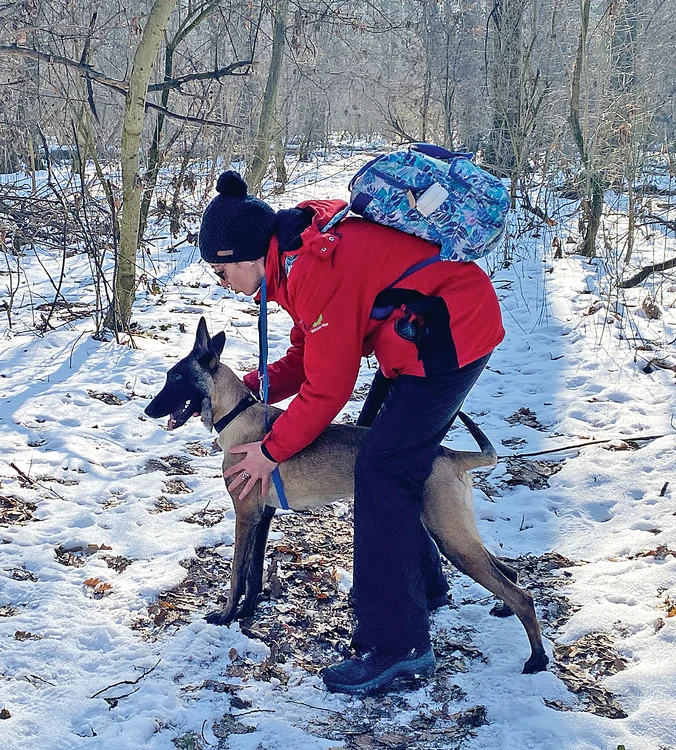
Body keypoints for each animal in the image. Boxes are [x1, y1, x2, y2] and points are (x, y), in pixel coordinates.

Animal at [144, 318, 548, 676]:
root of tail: (449, 455)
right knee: (510, 573)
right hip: (453, 532)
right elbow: (254, 574)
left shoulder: (246, 515)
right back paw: (504, 611)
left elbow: (236, 575)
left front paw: (226, 615)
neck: (240, 418)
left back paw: (537, 659)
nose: (148, 410)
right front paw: (246, 613)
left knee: (523, 596)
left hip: (451, 537)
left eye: (175, 378)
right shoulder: (262, 515)